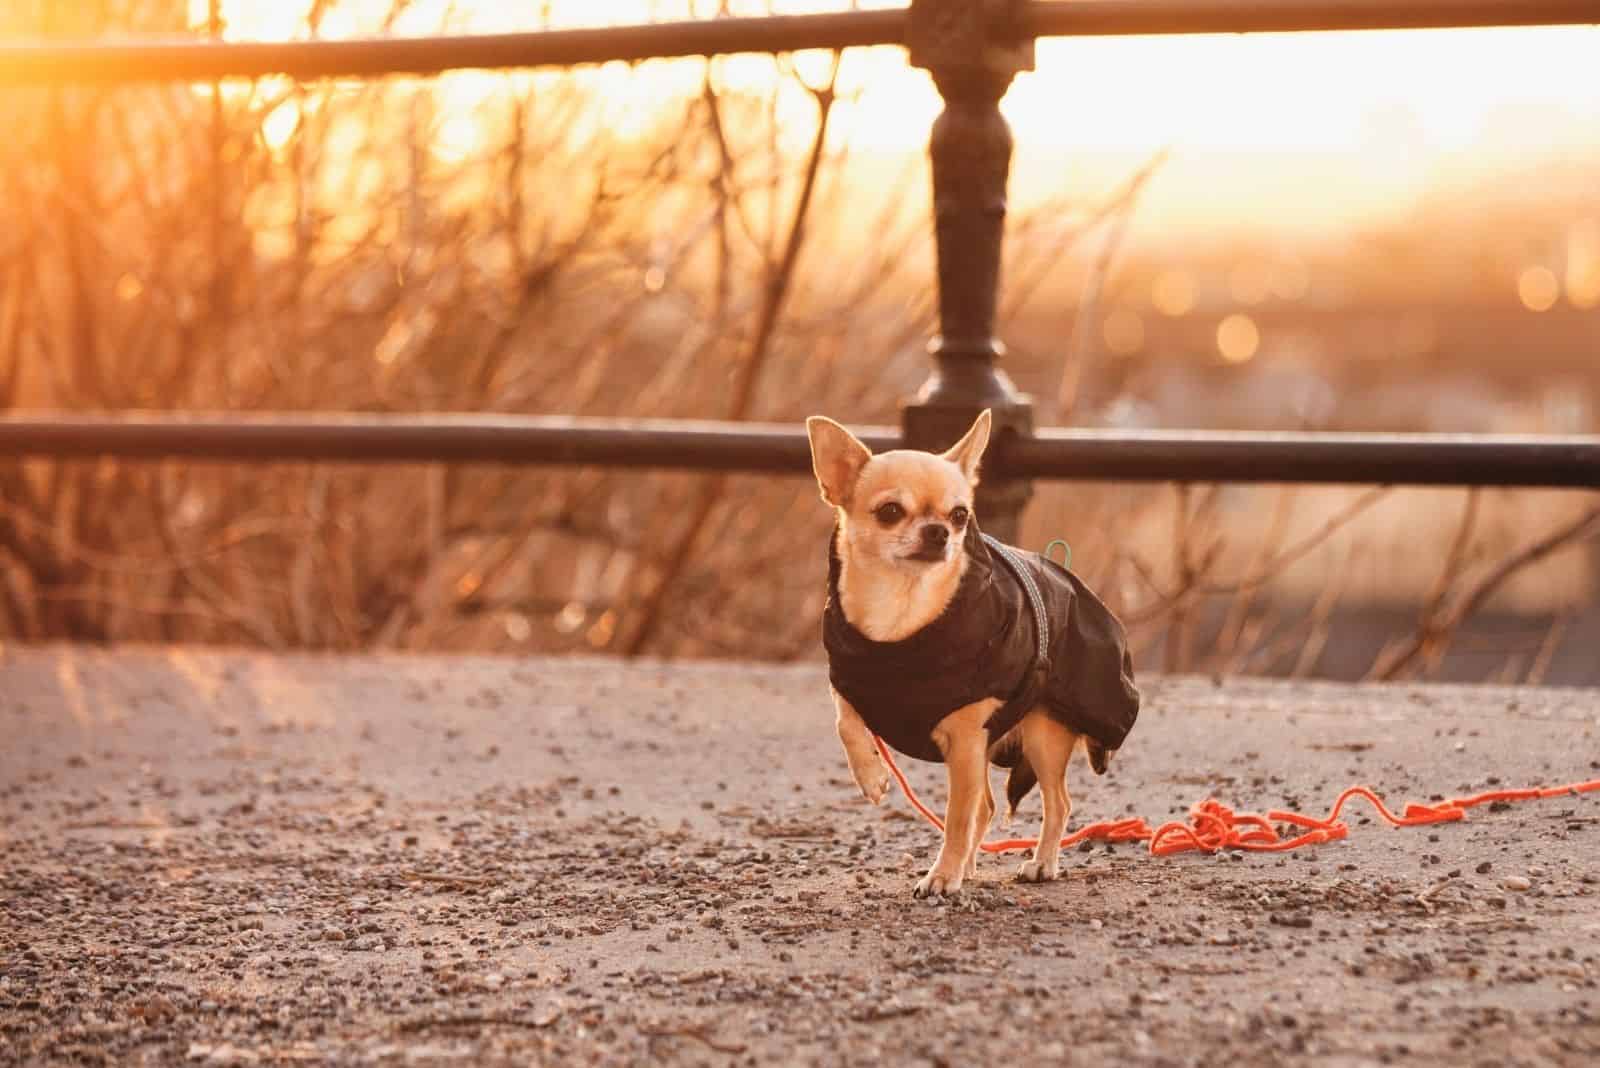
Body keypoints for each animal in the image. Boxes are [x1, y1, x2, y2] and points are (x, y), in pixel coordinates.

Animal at [812, 412, 1139, 895]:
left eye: (960, 515)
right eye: (890, 511)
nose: (939, 531)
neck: (900, 620)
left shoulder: (965, 737)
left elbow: (956, 818)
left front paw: (941, 875)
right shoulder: (851, 682)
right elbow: (845, 721)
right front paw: (870, 775)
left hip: (1040, 737)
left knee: (1053, 803)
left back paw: (1040, 863)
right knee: (987, 805)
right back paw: (970, 866)